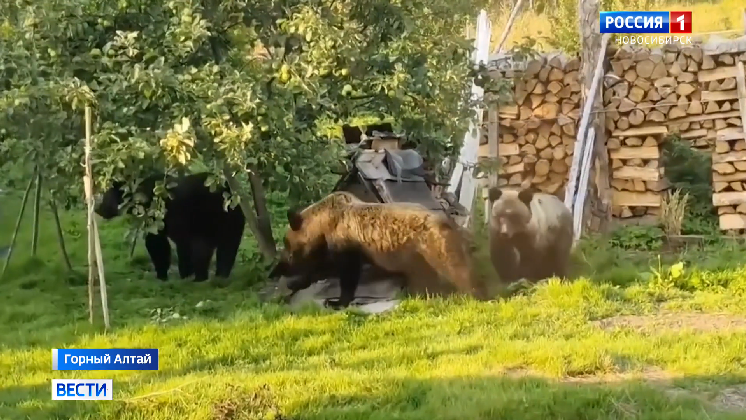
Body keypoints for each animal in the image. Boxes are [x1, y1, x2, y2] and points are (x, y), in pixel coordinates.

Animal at [95, 172, 246, 282]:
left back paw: (200, 277)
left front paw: (163, 274)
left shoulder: (156, 216)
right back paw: (221, 275)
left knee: (203, 248)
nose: (98, 209)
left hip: (207, 218)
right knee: (228, 247)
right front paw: (184, 273)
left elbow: (158, 244)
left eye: (106, 195)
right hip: (233, 219)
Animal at [269, 191, 487, 308]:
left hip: (431, 247)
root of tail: (447, 220)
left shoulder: (345, 244)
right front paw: (294, 282)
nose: (281, 263)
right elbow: (323, 268)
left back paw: (477, 293)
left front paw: (336, 301)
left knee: (457, 268)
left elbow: (345, 273)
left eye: (287, 243)